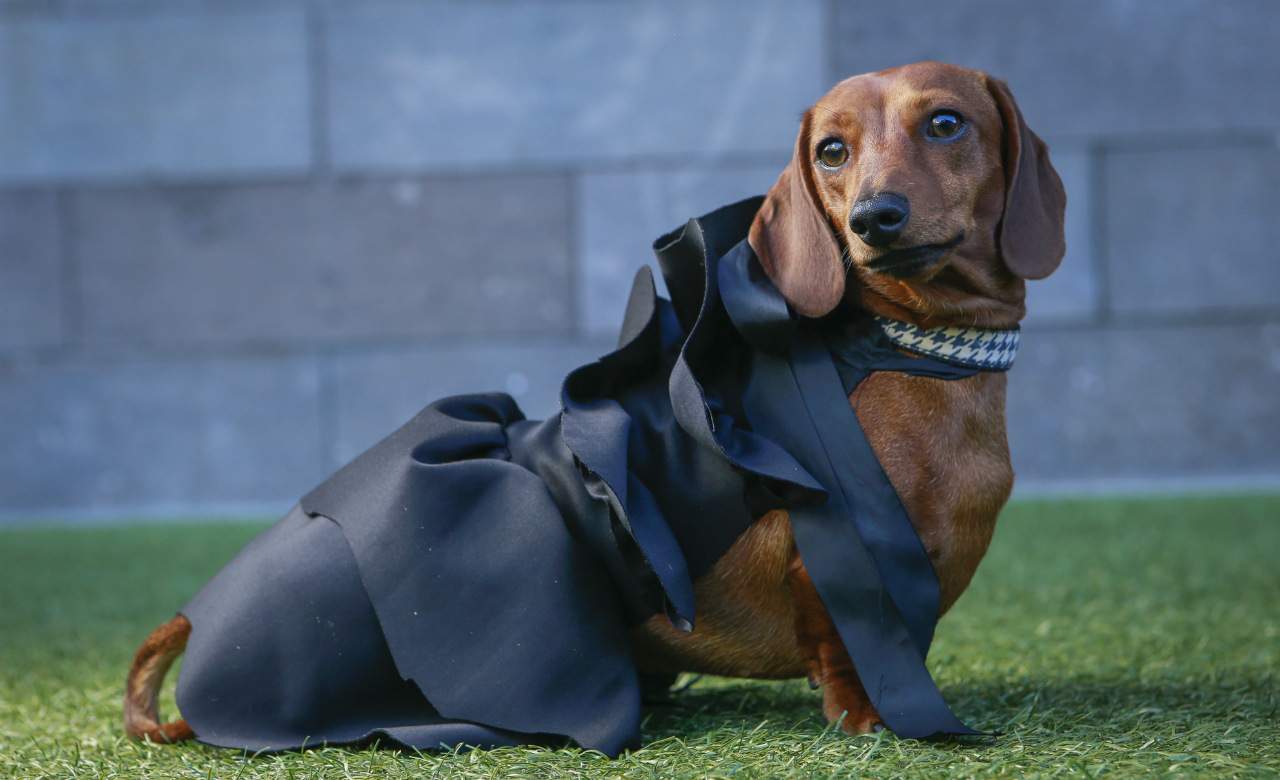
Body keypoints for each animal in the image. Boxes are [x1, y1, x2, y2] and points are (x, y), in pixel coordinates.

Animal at [127, 60, 1070, 742]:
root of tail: (196, 613)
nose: (876, 218)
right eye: (831, 151)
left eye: (945, 122)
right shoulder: (834, 565)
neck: (908, 350)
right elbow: (847, 649)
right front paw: (873, 718)